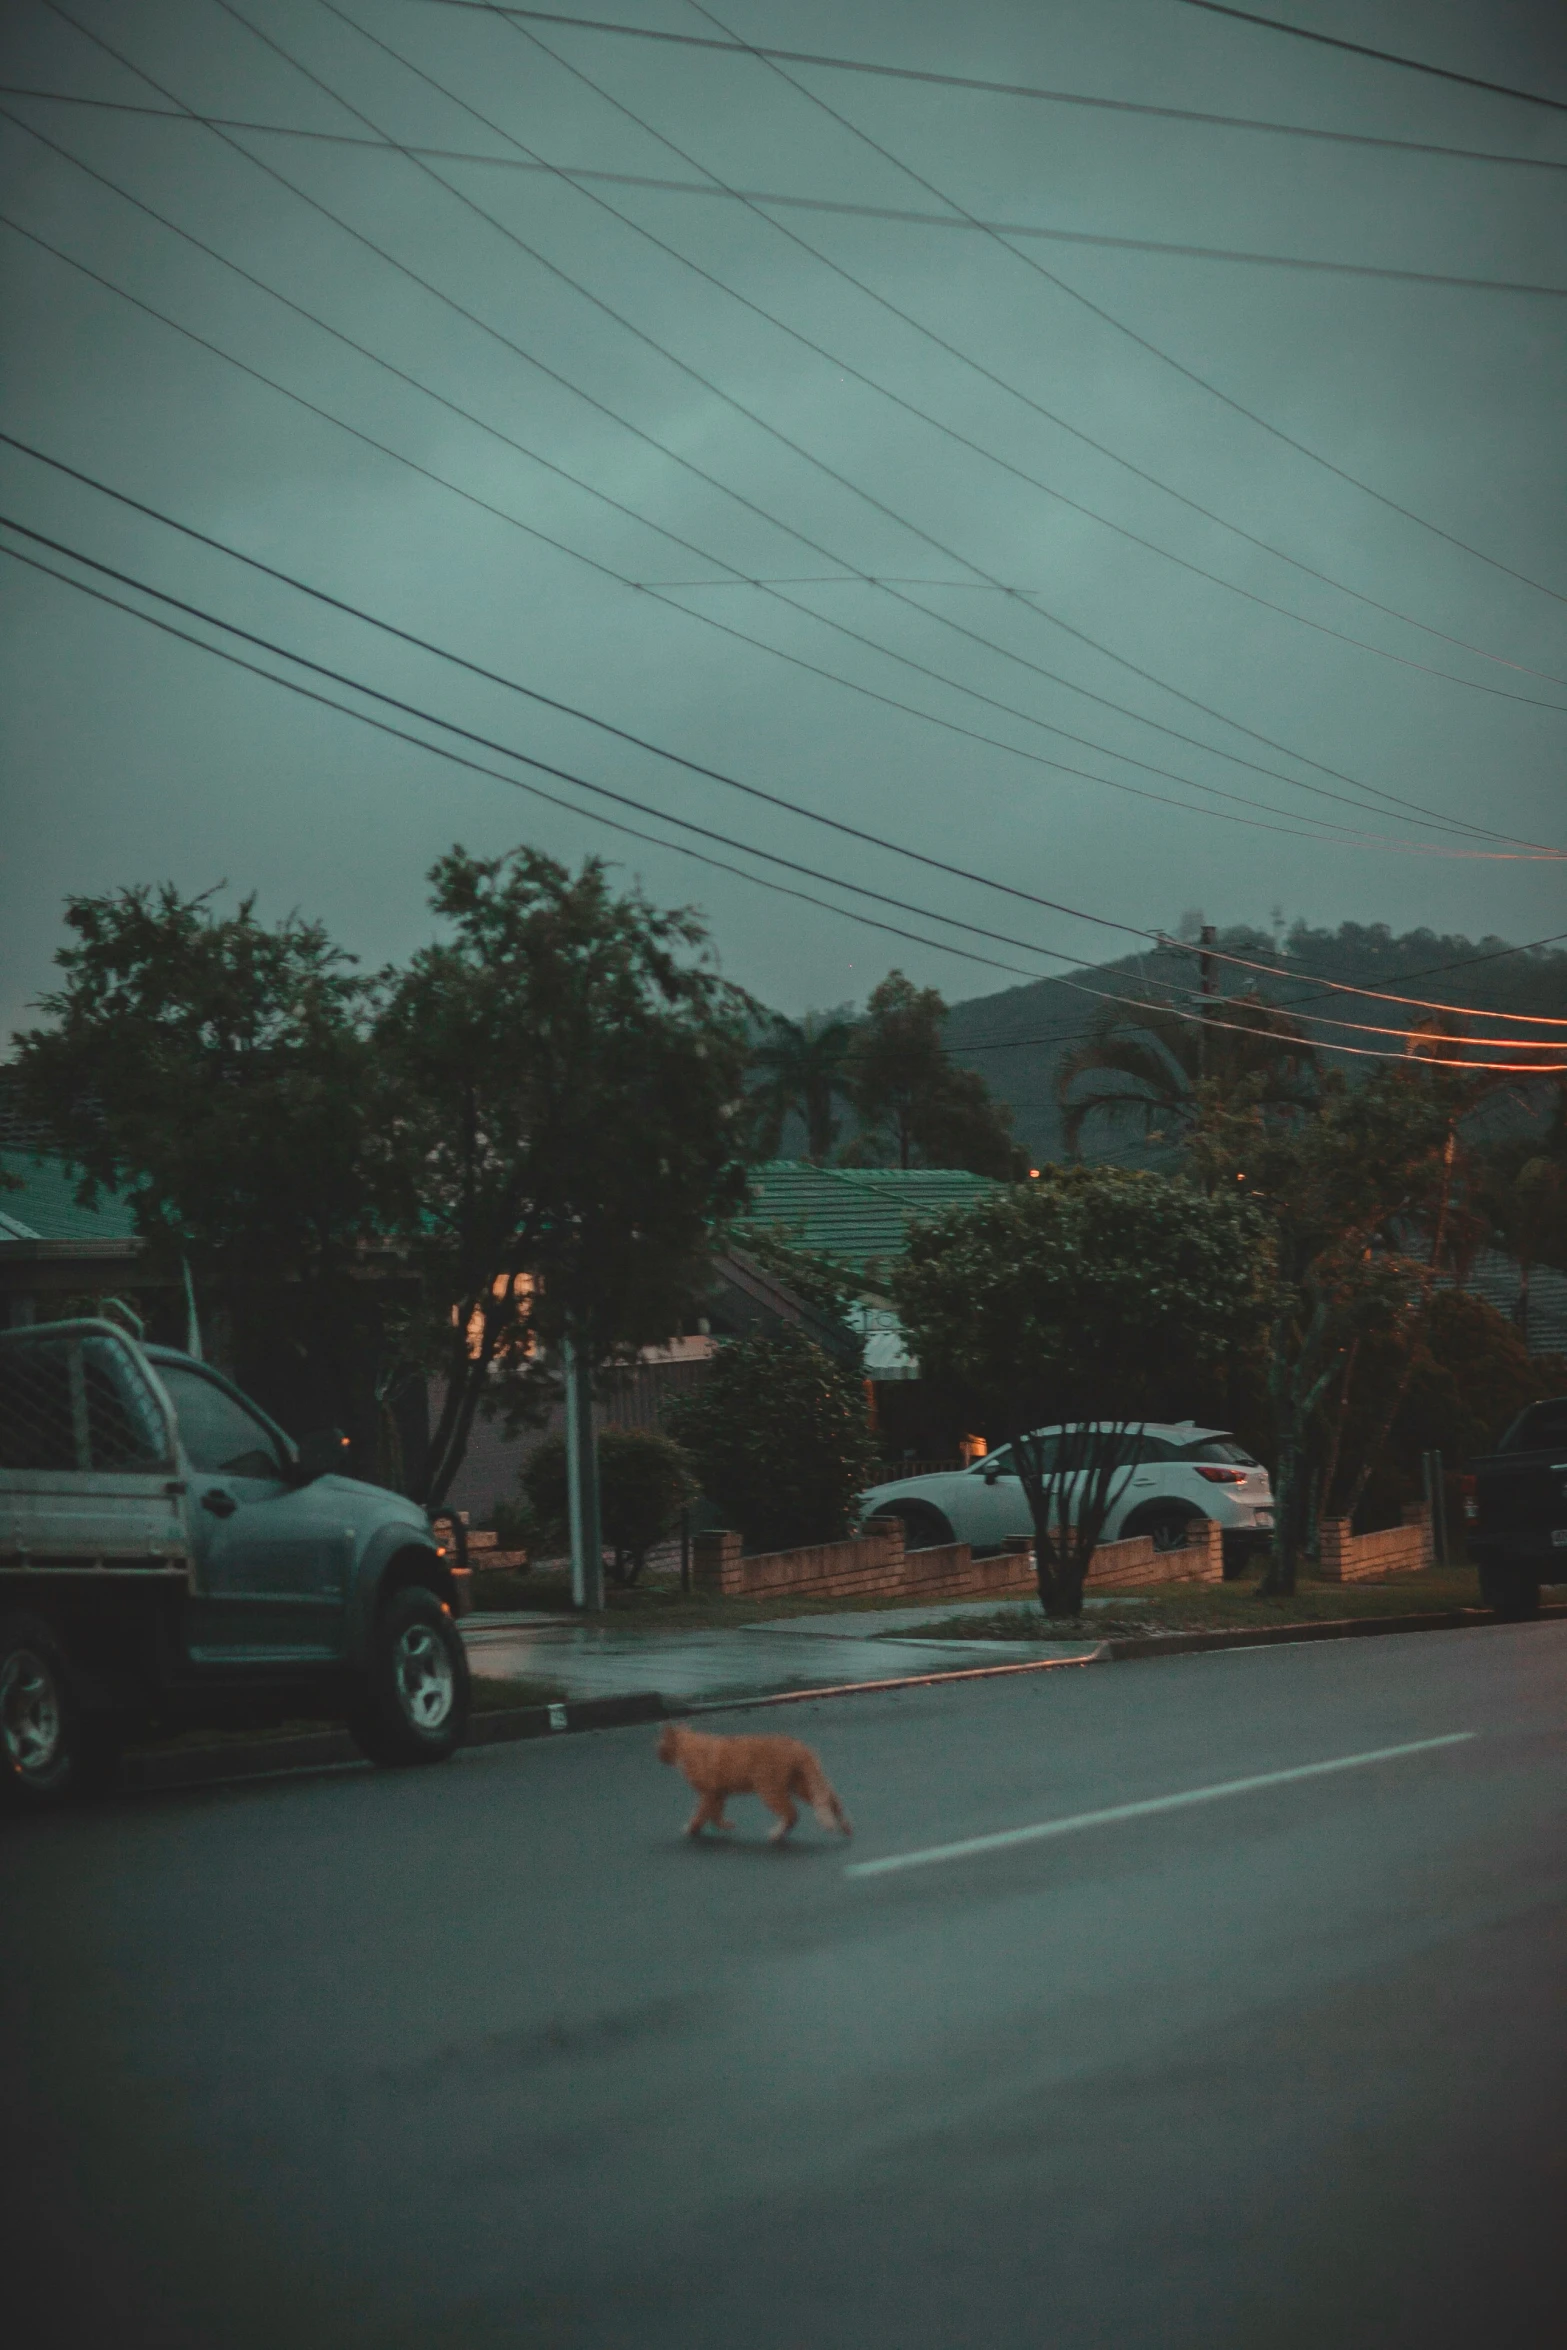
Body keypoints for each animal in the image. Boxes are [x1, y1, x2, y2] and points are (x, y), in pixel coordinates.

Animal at [662, 1720, 859, 1842]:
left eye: (659, 1743)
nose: (658, 1754)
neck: (688, 1744)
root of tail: (799, 1745)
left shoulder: (709, 1792)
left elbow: (702, 1813)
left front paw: (691, 1829)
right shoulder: (719, 1792)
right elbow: (714, 1813)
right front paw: (724, 1825)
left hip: (769, 1789)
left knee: (792, 1813)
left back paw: (776, 1835)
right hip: (802, 1785)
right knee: (833, 1800)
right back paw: (846, 1827)